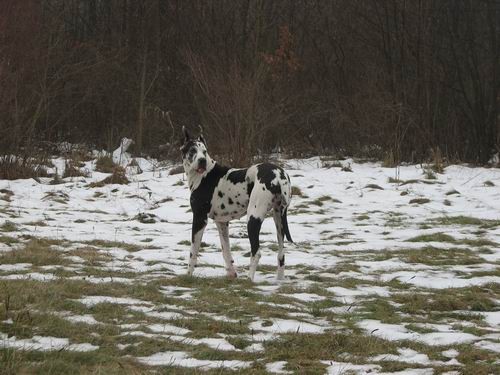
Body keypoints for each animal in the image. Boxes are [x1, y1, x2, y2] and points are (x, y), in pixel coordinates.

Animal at [181, 128, 292, 280]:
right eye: (192, 151)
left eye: (204, 151)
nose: (202, 161)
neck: (203, 175)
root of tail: (278, 175)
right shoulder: (222, 223)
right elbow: (226, 251)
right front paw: (231, 274)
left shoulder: (199, 218)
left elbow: (193, 251)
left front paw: (188, 275)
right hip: (279, 221)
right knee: (281, 254)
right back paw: (279, 280)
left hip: (253, 219)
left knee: (256, 252)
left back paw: (249, 279)